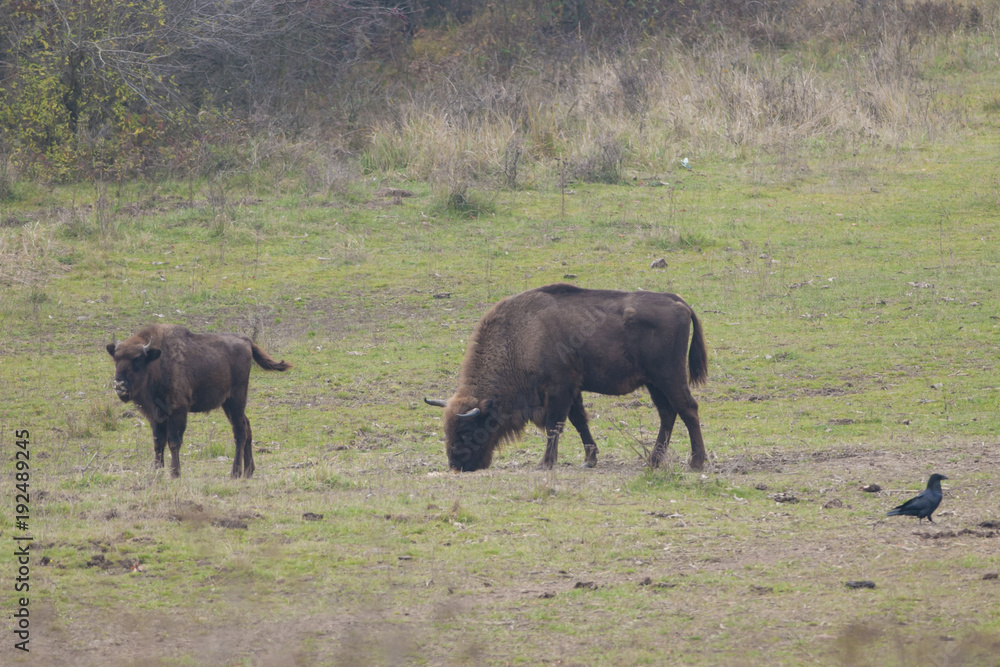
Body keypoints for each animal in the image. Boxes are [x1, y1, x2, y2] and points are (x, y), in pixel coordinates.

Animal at [106, 324, 291, 478]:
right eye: (116, 358)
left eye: (137, 359)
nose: (119, 384)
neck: (158, 362)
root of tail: (246, 341)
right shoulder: (156, 416)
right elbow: (158, 443)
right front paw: (157, 471)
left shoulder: (178, 411)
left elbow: (173, 442)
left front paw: (175, 473)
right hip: (229, 404)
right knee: (247, 427)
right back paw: (248, 471)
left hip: (236, 400)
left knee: (240, 432)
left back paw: (235, 473)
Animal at [426, 283, 708, 472]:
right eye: (447, 429)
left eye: (467, 431)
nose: (456, 464)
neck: (522, 337)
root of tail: (679, 303)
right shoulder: (573, 390)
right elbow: (579, 421)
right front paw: (589, 460)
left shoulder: (558, 389)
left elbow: (555, 425)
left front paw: (545, 463)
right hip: (654, 383)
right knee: (668, 414)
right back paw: (653, 461)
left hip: (669, 377)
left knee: (688, 409)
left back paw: (696, 462)